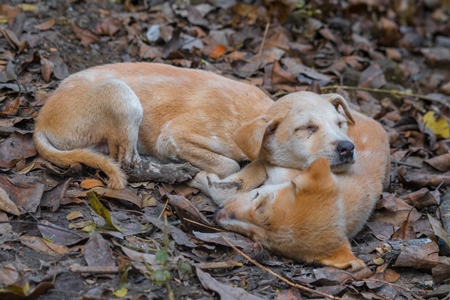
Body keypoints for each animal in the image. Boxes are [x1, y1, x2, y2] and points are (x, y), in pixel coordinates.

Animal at [33, 61, 272, 188]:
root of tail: (40, 121)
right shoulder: (172, 137)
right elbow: (229, 165)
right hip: (122, 95)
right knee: (129, 165)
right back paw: (175, 172)